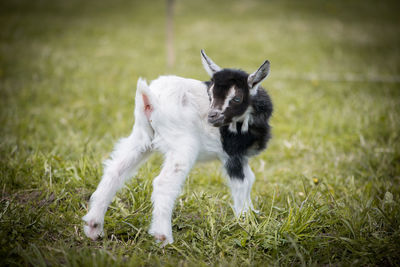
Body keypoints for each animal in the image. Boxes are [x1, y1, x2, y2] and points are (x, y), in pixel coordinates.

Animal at [83, 49, 274, 246]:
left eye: (237, 98)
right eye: (210, 94)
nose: (212, 116)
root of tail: (150, 99)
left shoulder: (240, 157)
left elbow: (249, 179)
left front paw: (252, 216)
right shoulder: (233, 154)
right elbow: (242, 183)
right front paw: (246, 222)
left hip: (142, 137)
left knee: (115, 170)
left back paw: (93, 227)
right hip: (183, 144)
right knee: (163, 183)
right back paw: (163, 238)